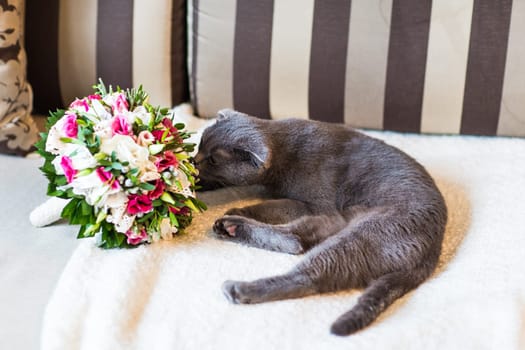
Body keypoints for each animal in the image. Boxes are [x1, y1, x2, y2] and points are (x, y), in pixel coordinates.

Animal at [193, 109, 446, 336]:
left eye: (213, 159)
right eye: (200, 144)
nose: (194, 161)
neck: (285, 158)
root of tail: (432, 252)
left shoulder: (314, 205)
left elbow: (271, 206)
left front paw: (238, 206)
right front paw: (197, 182)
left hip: (359, 234)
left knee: (302, 264)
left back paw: (238, 284)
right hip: (339, 225)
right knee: (297, 241)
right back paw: (230, 228)